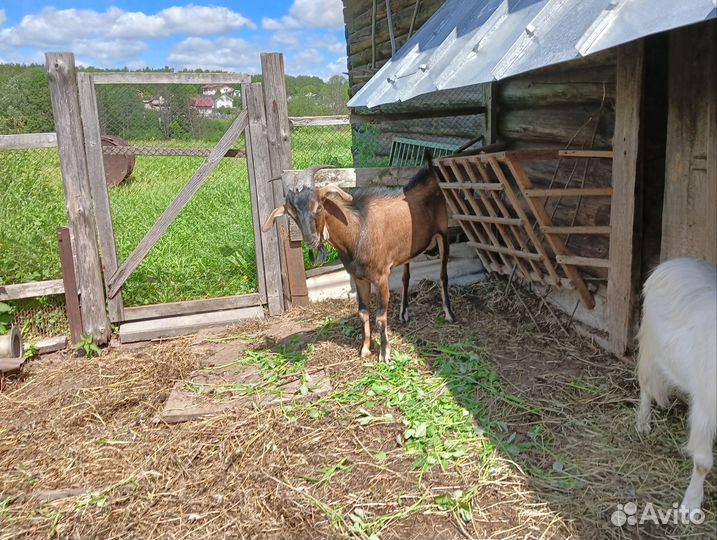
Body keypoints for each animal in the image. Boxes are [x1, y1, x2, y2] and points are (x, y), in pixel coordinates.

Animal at [262, 151, 454, 362]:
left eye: (319, 206)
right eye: (291, 213)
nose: (311, 240)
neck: (358, 230)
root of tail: (430, 173)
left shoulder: (381, 277)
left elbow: (380, 316)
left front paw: (384, 354)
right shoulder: (358, 276)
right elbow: (363, 312)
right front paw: (364, 349)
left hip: (443, 233)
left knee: (443, 275)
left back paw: (448, 314)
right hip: (410, 249)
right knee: (406, 276)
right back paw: (404, 314)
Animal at [636, 258, 712, 510]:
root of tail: (674, 262)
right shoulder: (706, 409)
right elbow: (703, 463)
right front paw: (691, 504)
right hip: (650, 349)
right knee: (646, 387)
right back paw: (643, 424)